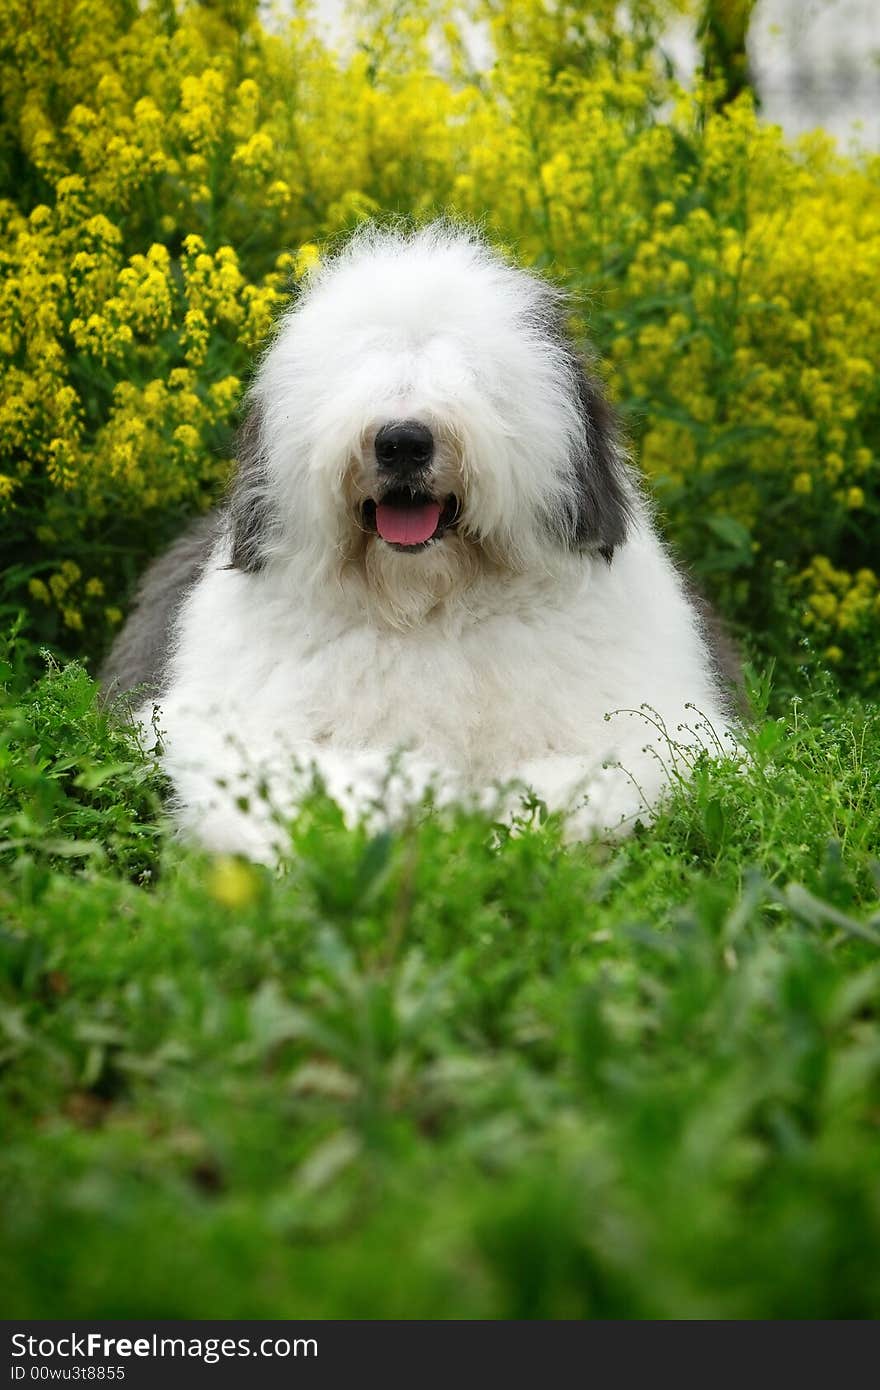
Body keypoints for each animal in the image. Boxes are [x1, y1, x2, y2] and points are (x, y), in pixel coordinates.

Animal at [99, 219, 739, 856]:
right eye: (356, 373)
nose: (403, 442)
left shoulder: (661, 731)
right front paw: (419, 789)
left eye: (473, 375)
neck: (426, 606)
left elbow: (587, 779)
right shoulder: (219, 730)